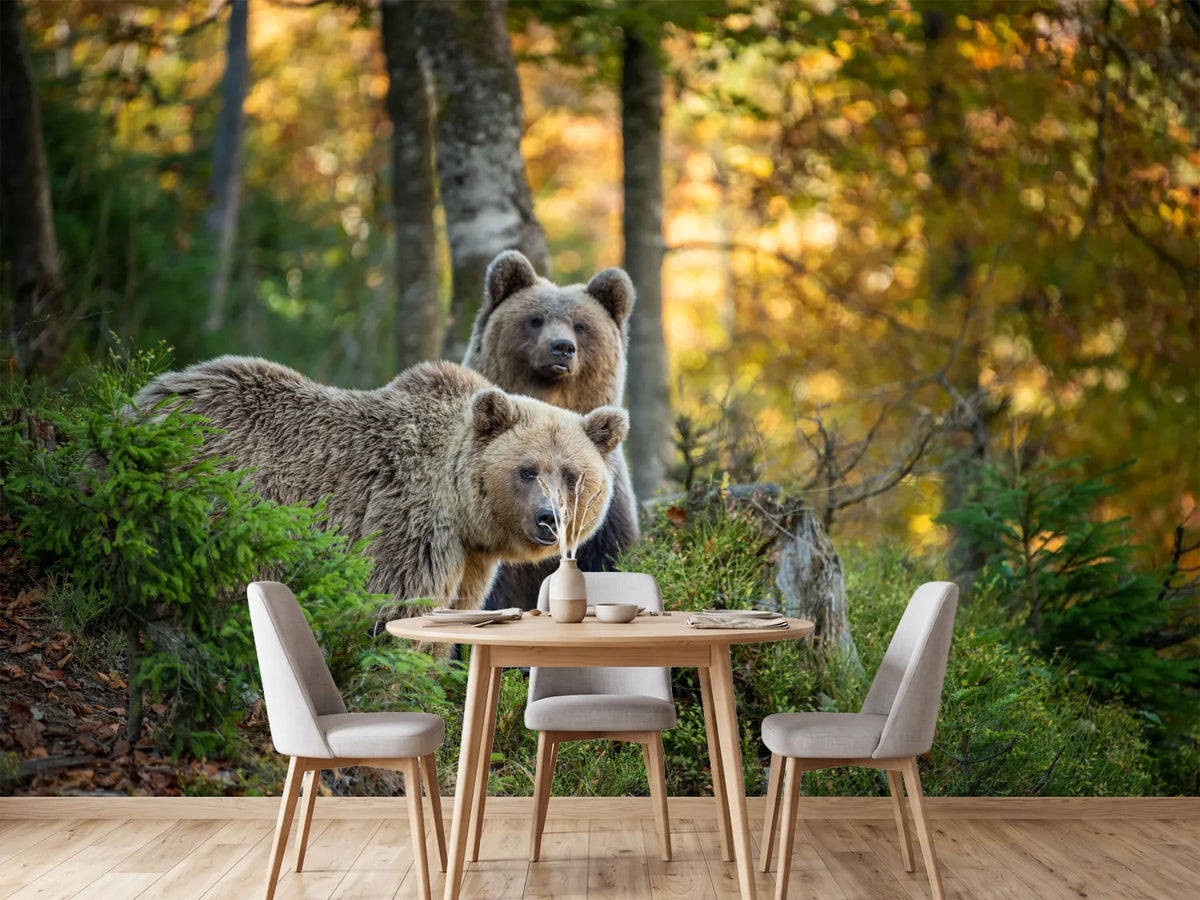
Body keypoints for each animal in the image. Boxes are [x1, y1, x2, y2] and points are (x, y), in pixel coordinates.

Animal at [135, 356, 629, 611]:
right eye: (527, 470)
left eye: (572, 475)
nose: (550, 519)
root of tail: (148, 399)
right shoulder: (410, 522)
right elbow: (397, 604)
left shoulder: (471, 560)